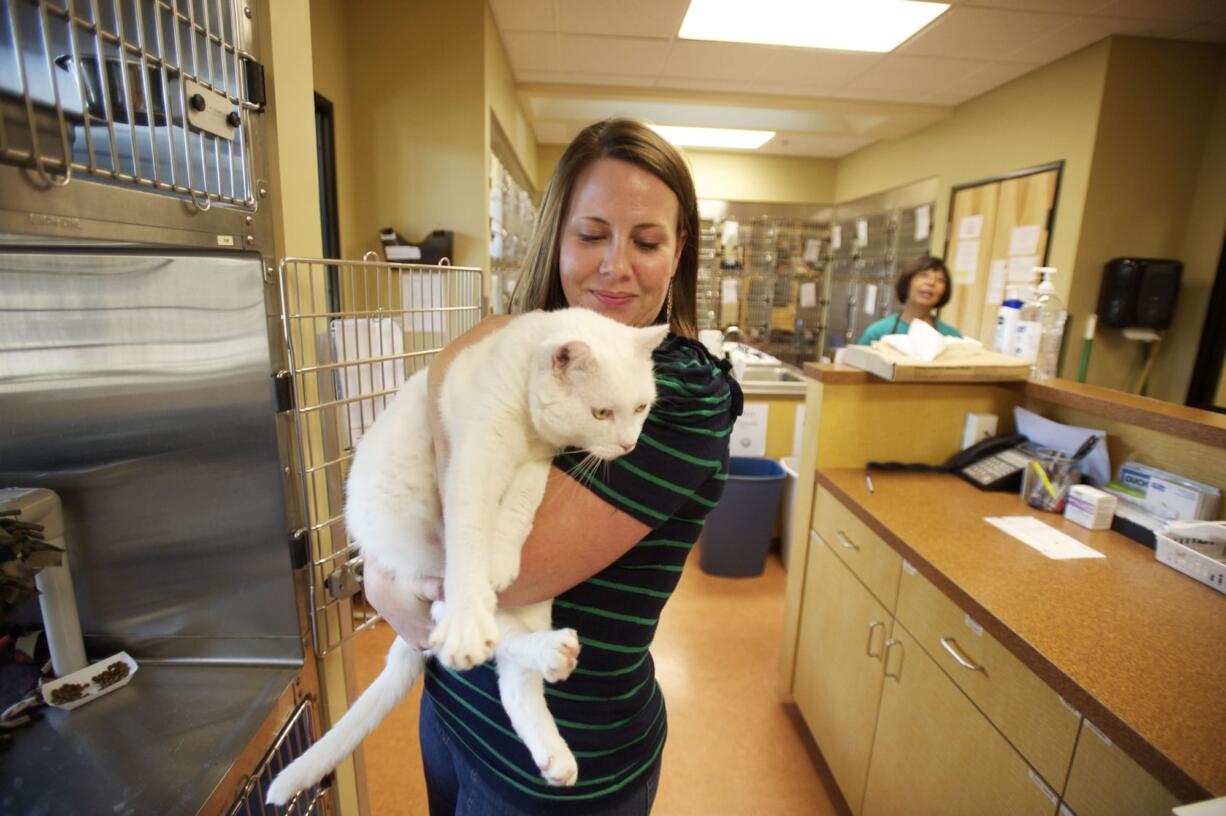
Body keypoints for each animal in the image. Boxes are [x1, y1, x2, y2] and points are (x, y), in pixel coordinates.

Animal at [268, 308, 671, 803]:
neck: (527, 425)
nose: (630, 445)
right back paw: (526, 644)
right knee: (461, 619)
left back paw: (552, 730)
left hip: (534, 599)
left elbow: (521, 500)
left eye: (641, 409)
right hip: (421, 563)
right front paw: (478, 588)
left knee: (513, 676)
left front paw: (502, 555)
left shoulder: (538, 462)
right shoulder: (475, 459)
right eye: (601, 412)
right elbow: (472, 532)